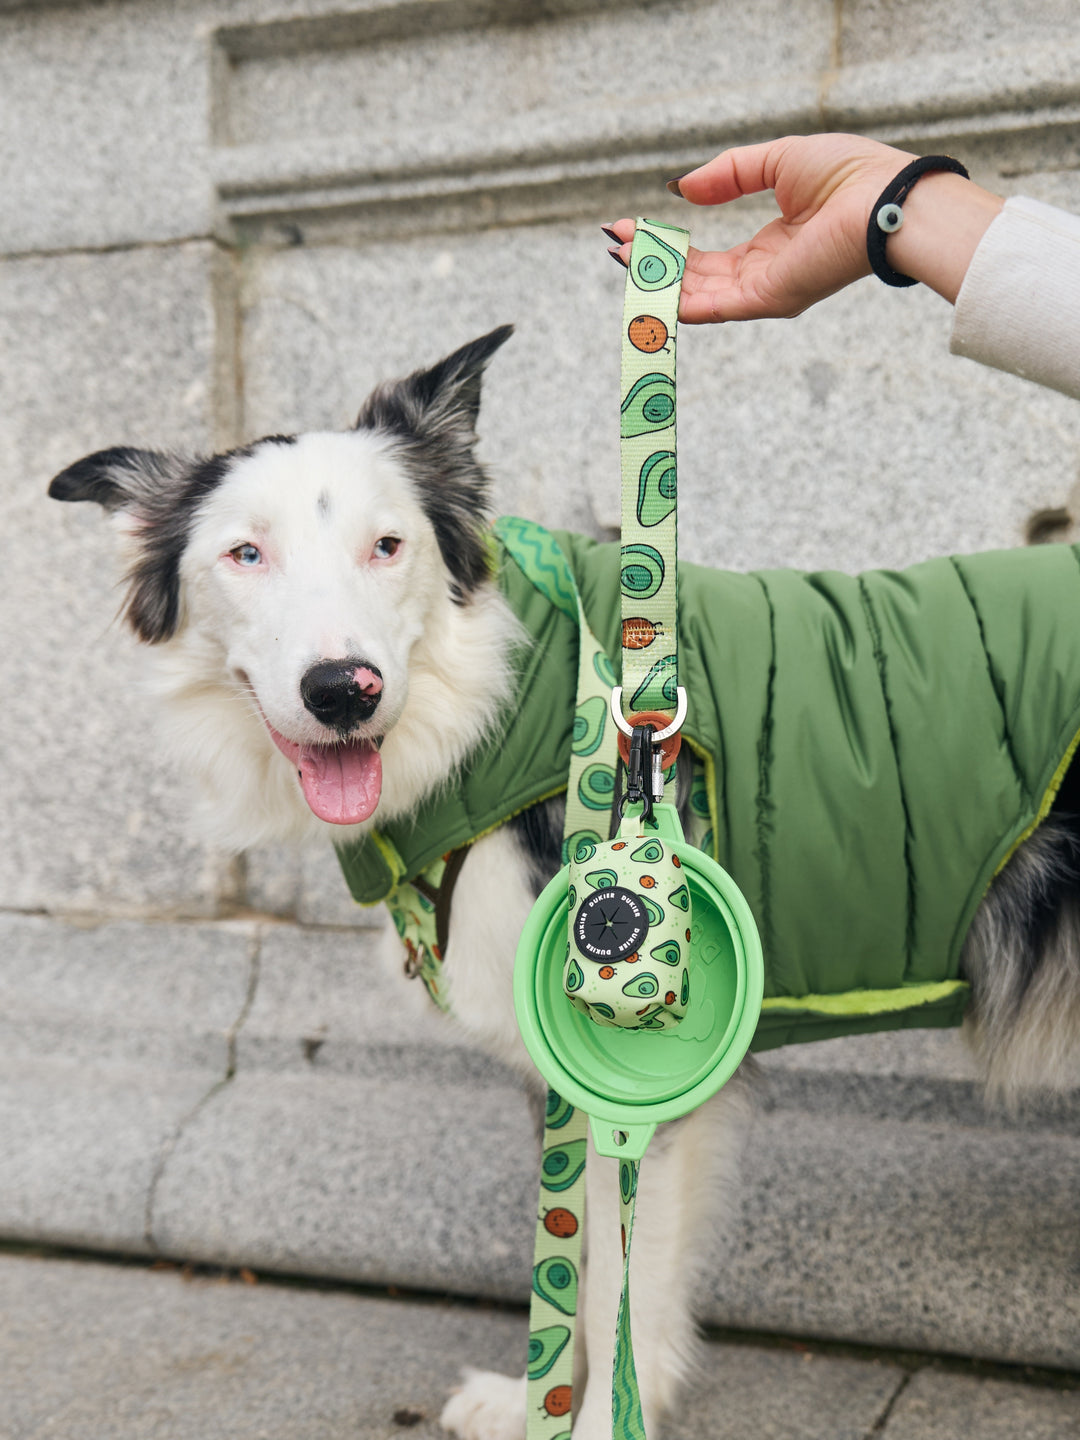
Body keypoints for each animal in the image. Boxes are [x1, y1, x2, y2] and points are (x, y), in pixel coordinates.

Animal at [50, 326, 1080, 1440]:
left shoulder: (652, 1079)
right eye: (246, 554)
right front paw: (533, 1398)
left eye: (388, 546)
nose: (343, 691)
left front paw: (597, 1420)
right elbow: (574, 1255)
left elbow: (620, 1285)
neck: (501, 711)